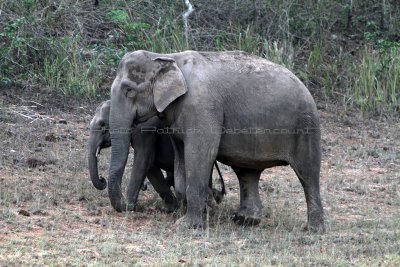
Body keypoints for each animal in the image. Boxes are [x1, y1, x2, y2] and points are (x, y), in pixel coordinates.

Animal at [108, 51, 324, 233]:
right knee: (247, 172)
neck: (168, 58)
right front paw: (203, 208)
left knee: (307, 174)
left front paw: (187, 225)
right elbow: (181, 158)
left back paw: (312, 229)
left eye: (129, 90)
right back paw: (246, 220)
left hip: (305, 125)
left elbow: (200, 154)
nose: (130, 206)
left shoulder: (202, 108)